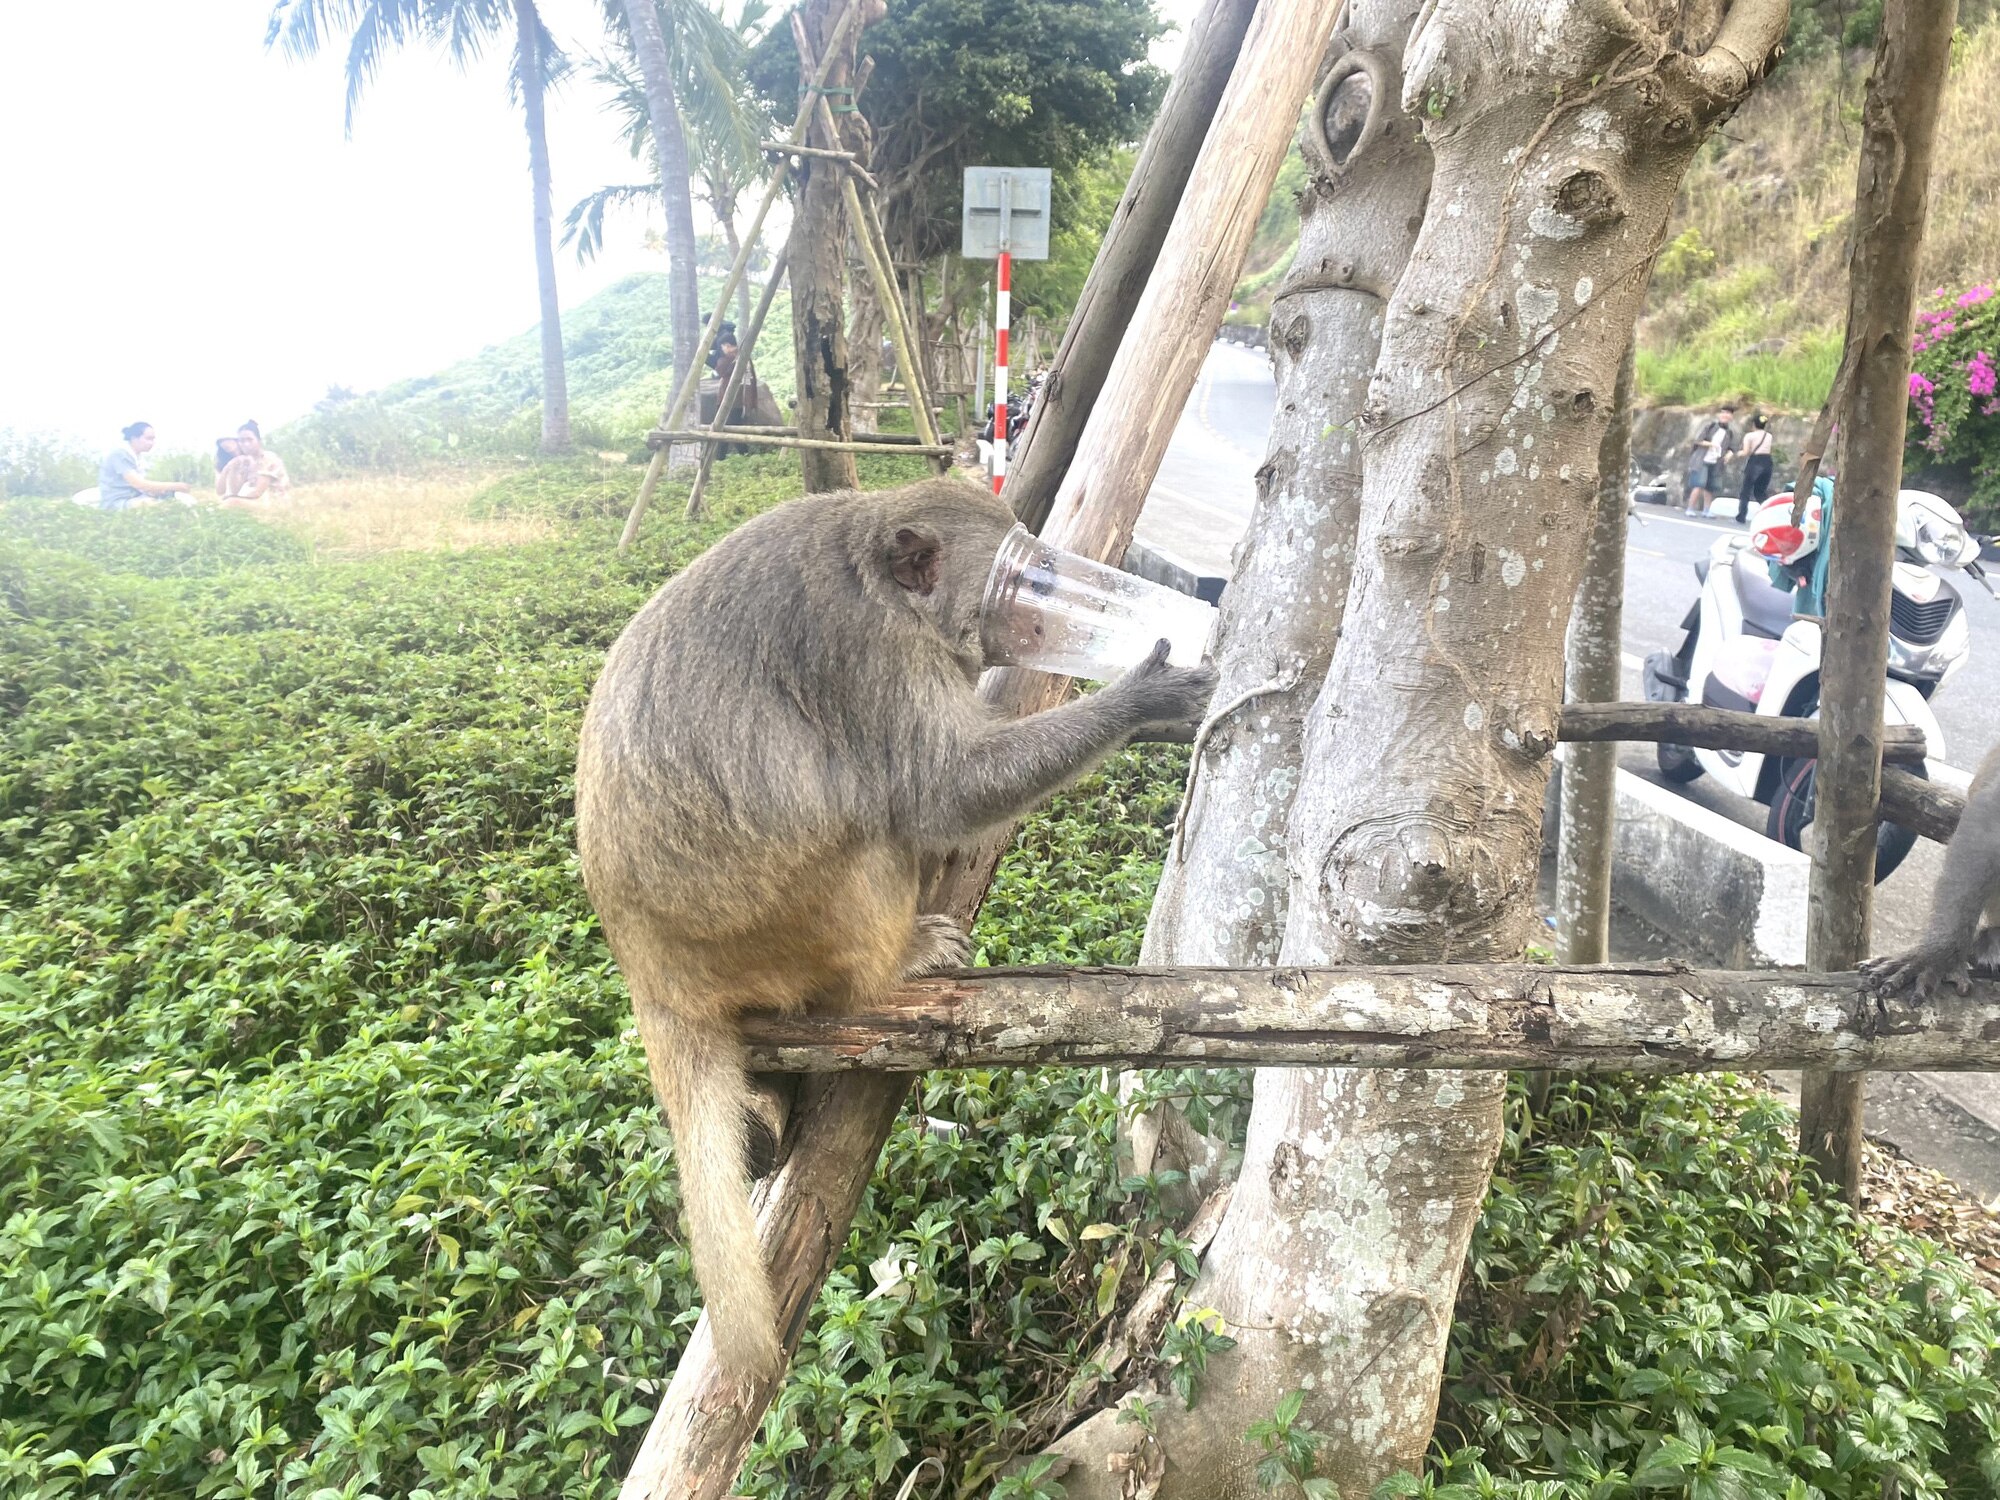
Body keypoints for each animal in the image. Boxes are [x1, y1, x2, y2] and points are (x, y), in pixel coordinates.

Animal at [572, 476, 1208, 1384]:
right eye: (1029, 576)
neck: (880, 580)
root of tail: (650, 972)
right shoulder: (873, 657)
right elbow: (943, 788)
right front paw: (1140, 697)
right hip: (782, 924)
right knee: (868, 822)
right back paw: (895, 965)